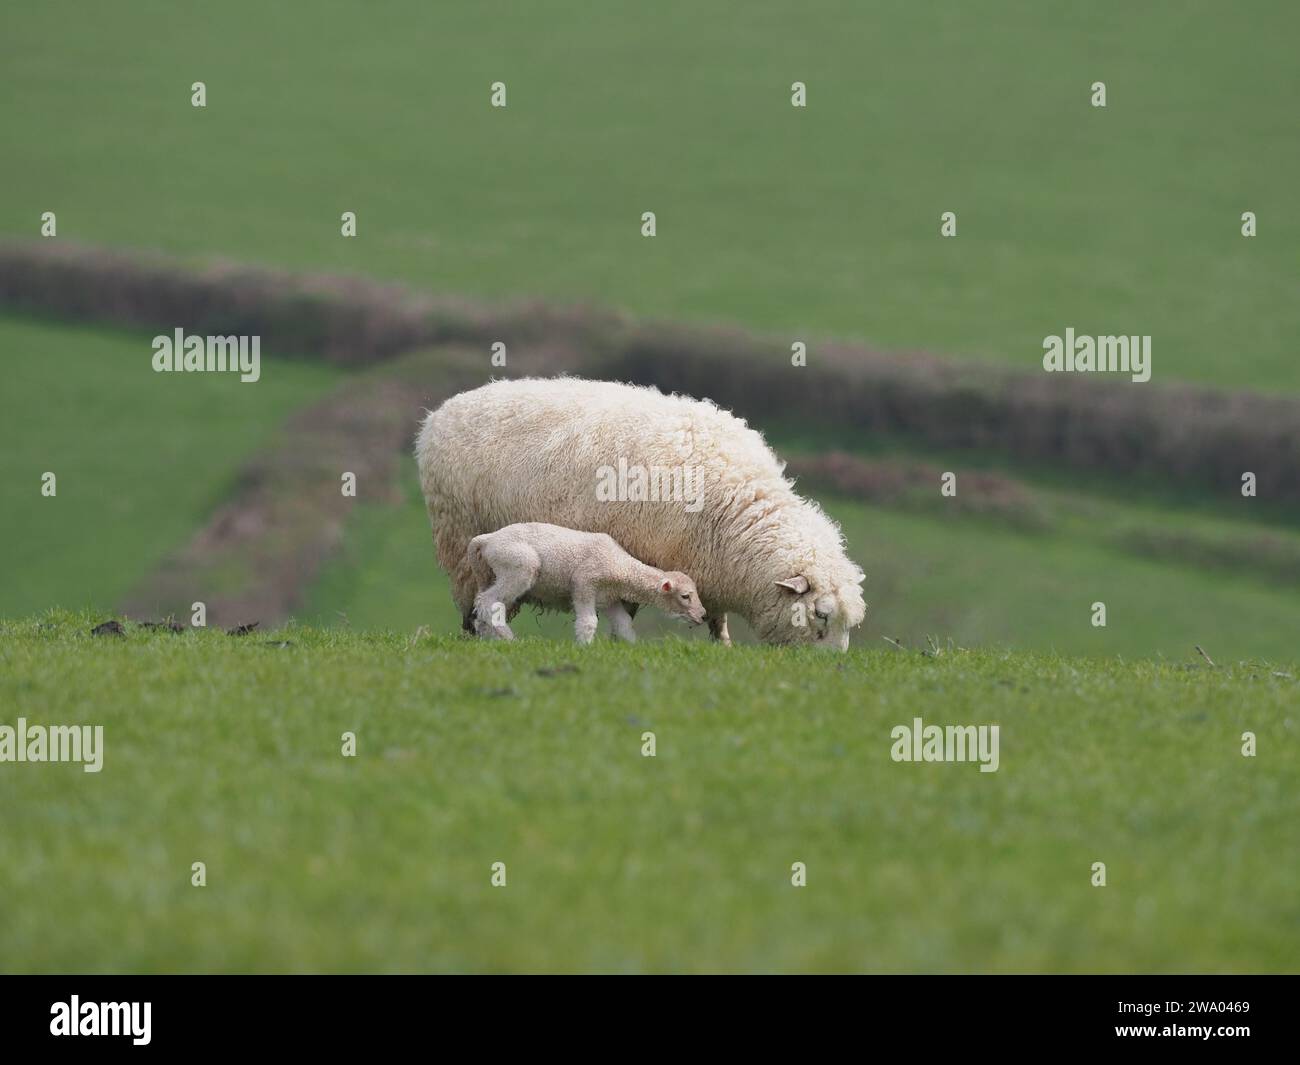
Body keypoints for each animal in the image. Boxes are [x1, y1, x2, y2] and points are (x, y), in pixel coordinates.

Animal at [468, 522, 707, 643]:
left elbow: (624, 625)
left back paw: (487, 637)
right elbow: (588, 622)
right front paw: (583, 648)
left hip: (491, 573)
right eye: (685, 596)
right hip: (519, 566)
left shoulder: (608, 599)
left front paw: (631, 647)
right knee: (489, 601)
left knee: (486, 605)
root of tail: (487, 539)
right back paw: (509, 638)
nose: (703, 615)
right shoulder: (584, 583)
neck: (621, 566)